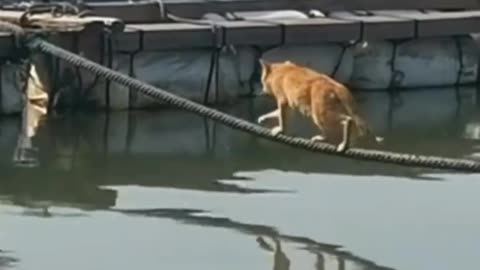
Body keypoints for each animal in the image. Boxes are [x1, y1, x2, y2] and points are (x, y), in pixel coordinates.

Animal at [256, 59, 384, 152]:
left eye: (262, 79)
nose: (262, 88)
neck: (280, 70)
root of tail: (337, 87)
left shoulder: (283, 101)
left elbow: (282, 117)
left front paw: (281, 130)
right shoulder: (290, 106)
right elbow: (276, 113)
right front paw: (263, 118)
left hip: (320, 114)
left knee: (347, 120)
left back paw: (337, 141)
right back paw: (345, 142)